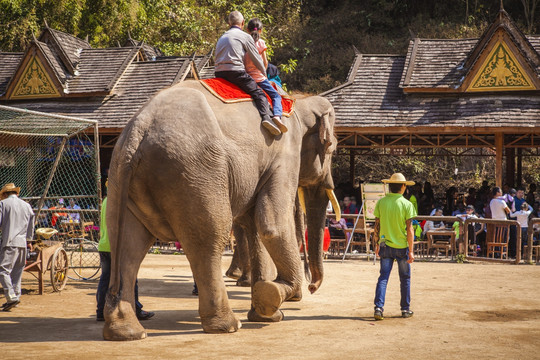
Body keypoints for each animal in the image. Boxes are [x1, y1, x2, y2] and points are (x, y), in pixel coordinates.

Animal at [103, 79, 340, 340]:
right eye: (332, 149)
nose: (313, 285)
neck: (299, 101)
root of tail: (138, 130)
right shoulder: (284, 154)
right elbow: (271, 225)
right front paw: (271, 295)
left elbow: (255, 225)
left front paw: (265, 312)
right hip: (196, 173)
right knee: (208, 240)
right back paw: (227, 325)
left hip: (120, 176)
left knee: (127, 244)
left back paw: (126, 332)